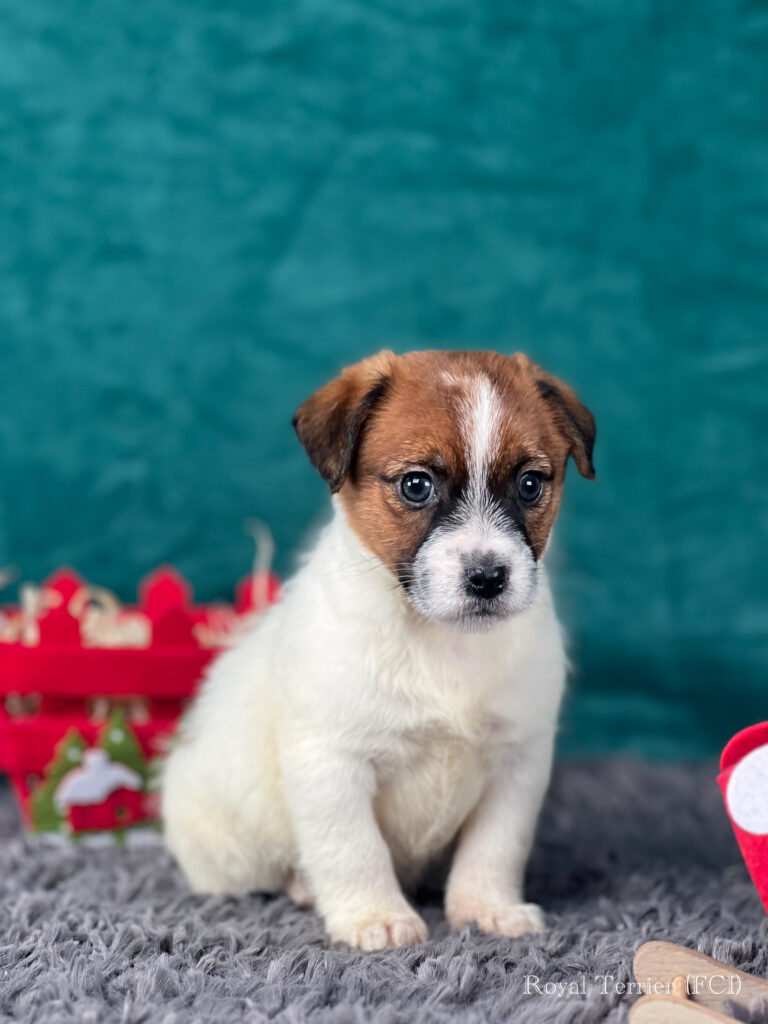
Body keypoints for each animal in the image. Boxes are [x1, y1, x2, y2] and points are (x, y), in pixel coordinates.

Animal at [160, 350, 593, 950]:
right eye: (416, 485)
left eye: (530, 485)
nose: (488, 578)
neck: (441, 642)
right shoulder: (332, 762)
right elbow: (354, 850)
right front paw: (375, 918)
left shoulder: (516, 763)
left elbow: (495, 848)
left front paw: (487, 908)